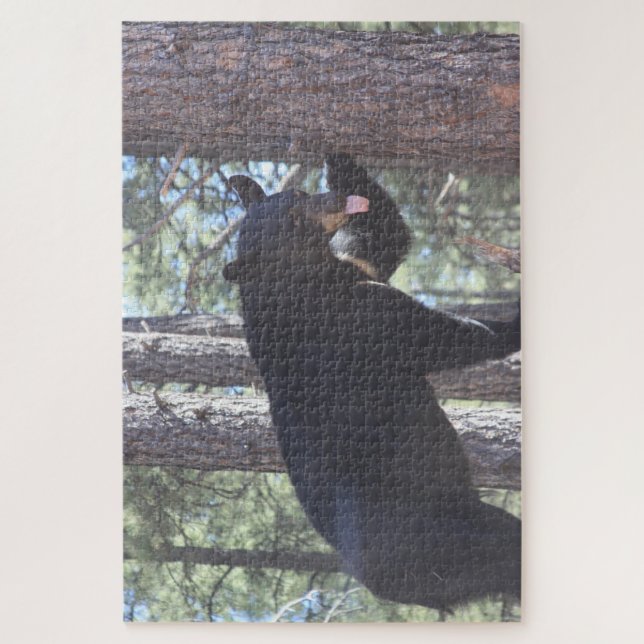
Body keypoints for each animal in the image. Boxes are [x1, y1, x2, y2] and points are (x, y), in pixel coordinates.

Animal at [223, 184, 521, 610]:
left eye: (297, 192)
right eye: (293, 219)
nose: (332, 198)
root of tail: (379, 584)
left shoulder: (353, 270)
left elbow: (383, 238)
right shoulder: (355, 319)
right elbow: (443, 337)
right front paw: (515, 320)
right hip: (447, 533)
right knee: (505, 541)